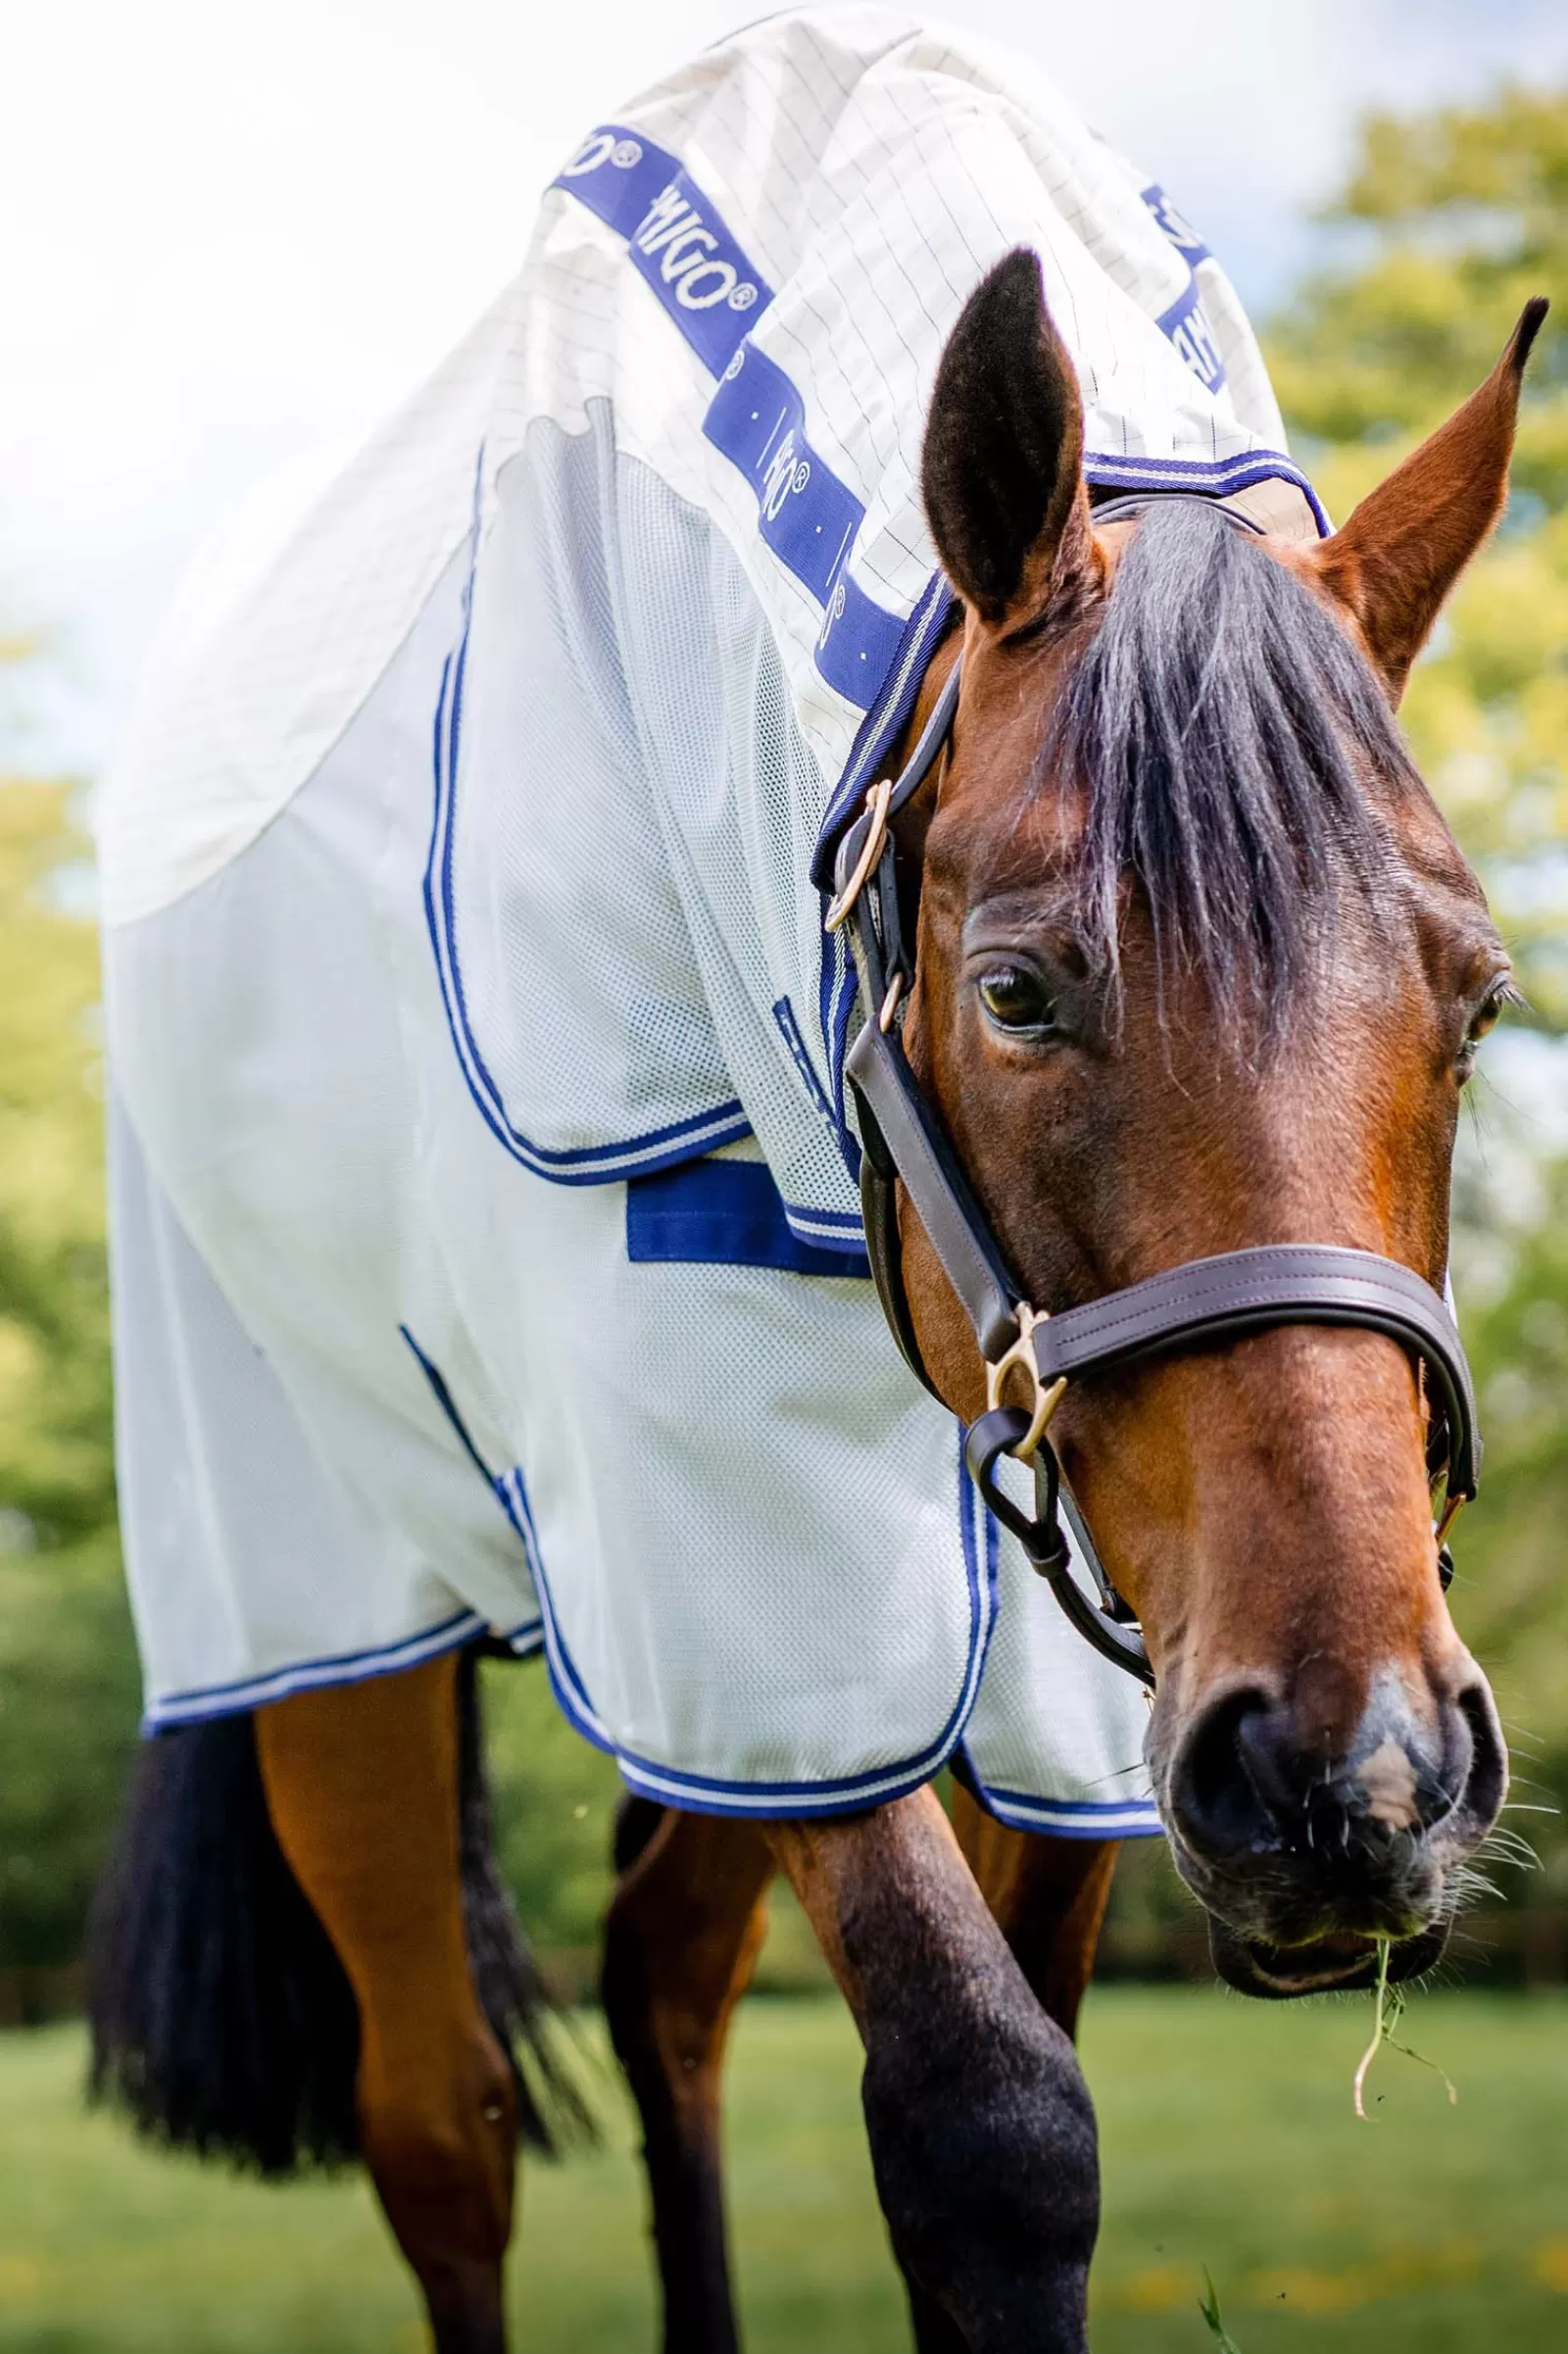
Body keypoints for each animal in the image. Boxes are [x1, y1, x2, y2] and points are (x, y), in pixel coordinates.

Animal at [82, 18, 1525, 2354]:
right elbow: (992, 2122)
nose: (1357, 1774)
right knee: (439, 2121)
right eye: (1018, 989)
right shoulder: (726, 1532)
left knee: (663, 1973)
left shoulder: (1067, 1669)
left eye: (1477, 998)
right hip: (334, 1616)